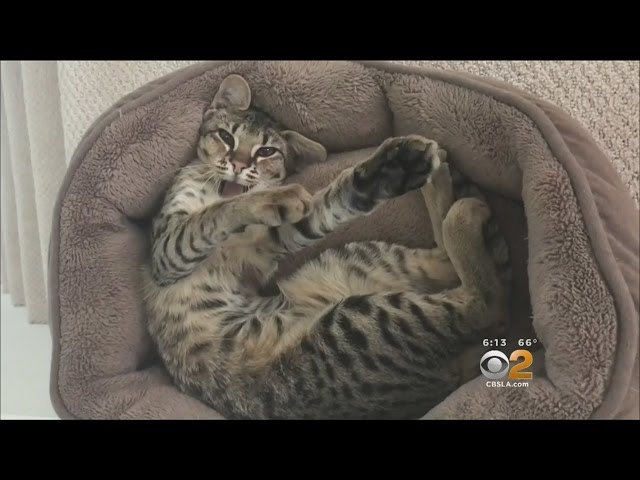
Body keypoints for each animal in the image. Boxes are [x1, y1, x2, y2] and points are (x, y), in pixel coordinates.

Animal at [142, 74, 511, 419]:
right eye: (226, 136)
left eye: (266, 152)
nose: (239, 165)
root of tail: (444, 377)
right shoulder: (166, 253)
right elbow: (213, 215)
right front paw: (271, 196)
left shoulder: (265, 241)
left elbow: (332, 201)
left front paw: (391, 170)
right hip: (356, 309)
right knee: (481, 300)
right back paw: (460, 202)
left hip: (352, 286)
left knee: (468, 281)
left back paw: (442, 185)